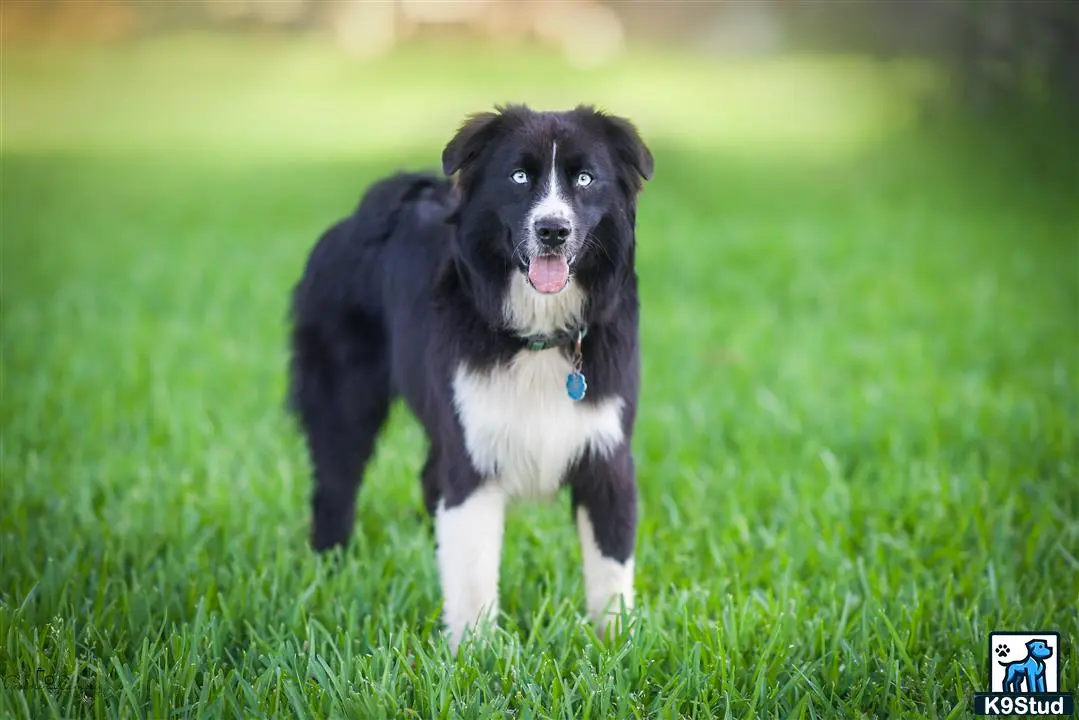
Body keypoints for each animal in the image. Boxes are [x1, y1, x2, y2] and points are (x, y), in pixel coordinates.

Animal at [287, 102, 651, 651]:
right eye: (519, 177)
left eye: (586, 179)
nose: (552, 230)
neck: (539, 336)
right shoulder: (473, 455)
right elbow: (474, 573)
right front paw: (477, 656)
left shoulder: (607, 456)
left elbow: (611, 572)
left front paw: (617, 647)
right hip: (343, 397)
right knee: (335, 481)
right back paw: (330, 567)